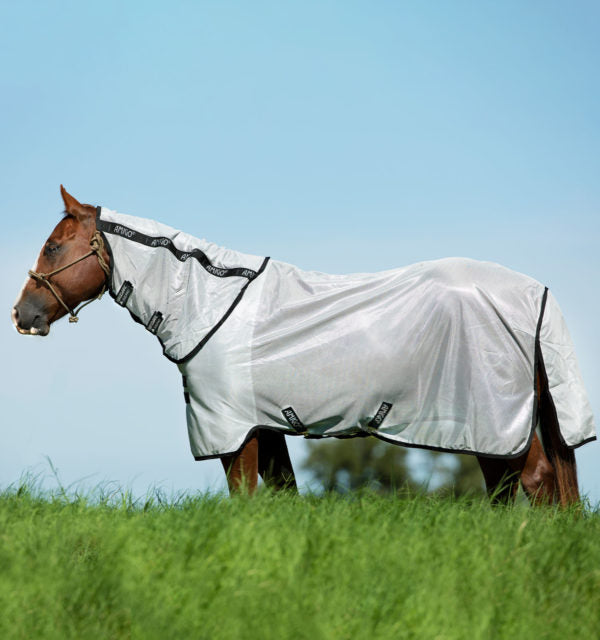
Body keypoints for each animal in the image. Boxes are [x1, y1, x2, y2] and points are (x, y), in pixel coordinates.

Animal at [12, 186, 595, 505]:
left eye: (53, 246)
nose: (22, 315)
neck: (211, 303)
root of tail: (534, 293)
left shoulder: (235, 431)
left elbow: (244, 498)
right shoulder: (265, 428)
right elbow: (281, 496)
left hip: (493, 423)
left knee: (536, 481)